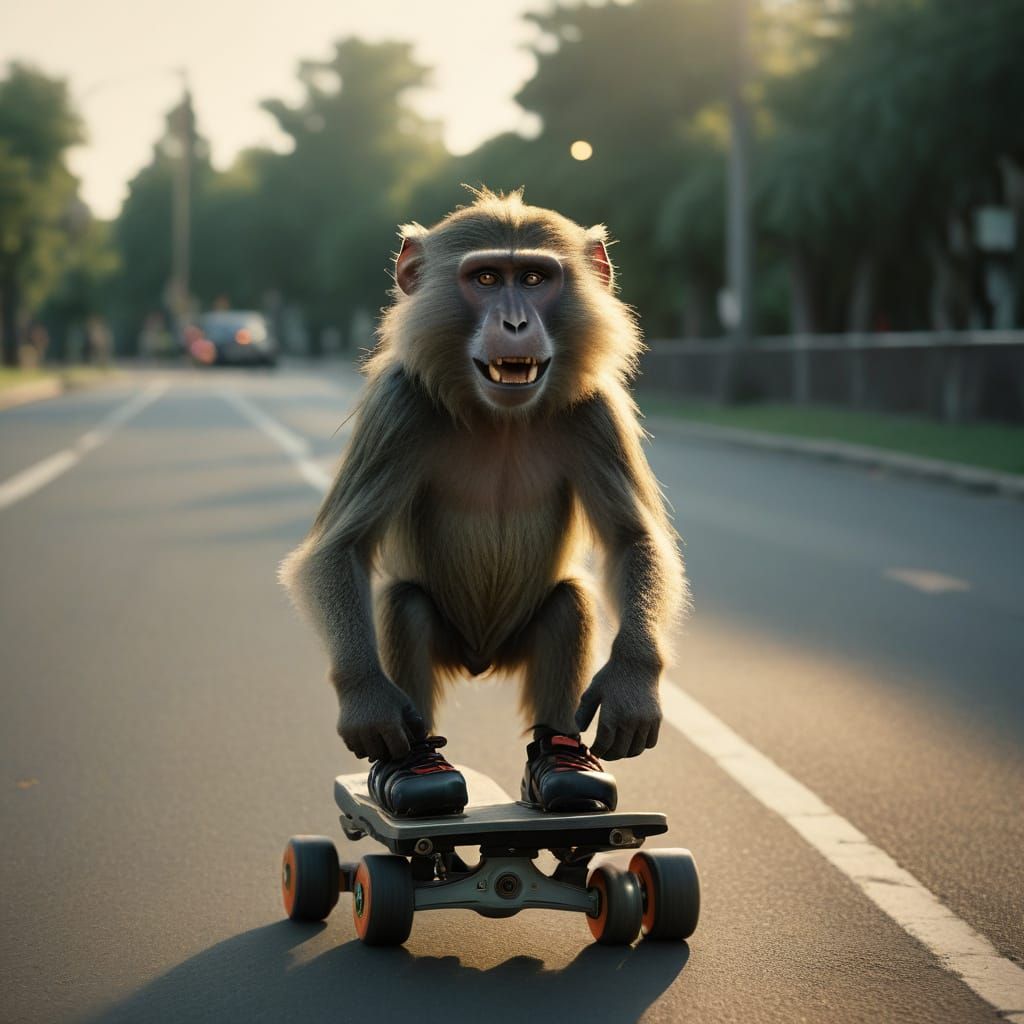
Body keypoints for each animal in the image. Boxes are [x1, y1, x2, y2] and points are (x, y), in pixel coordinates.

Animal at [281, 187, 687, 815]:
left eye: (536, 277)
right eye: (488, 278)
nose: (515, 322)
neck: (501, 418)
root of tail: (482, 658)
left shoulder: (596, 412)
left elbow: (631, 540)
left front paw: (631, 684)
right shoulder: (399, 406)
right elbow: (338, 549)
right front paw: (369, 702)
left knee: (570, 602)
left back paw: (561, 762)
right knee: (405, 605)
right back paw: (417, 770)